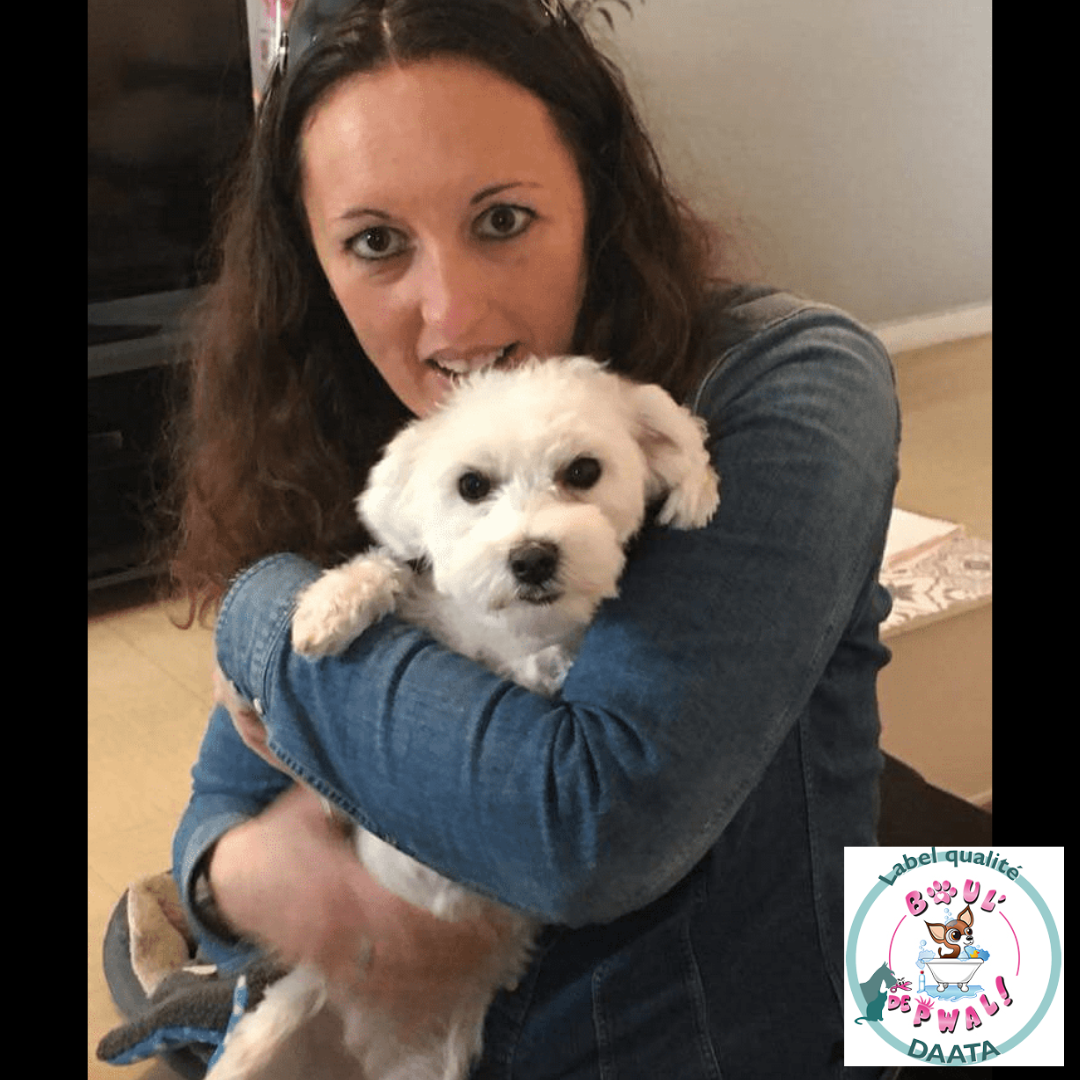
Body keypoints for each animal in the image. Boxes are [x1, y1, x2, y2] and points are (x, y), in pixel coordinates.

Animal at [208, 356, 720, 1080]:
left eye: (584, 471)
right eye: (471, 485)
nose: (531, 557)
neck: (508, 634)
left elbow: (547, 670)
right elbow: (394, 569)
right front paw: (329, 607)